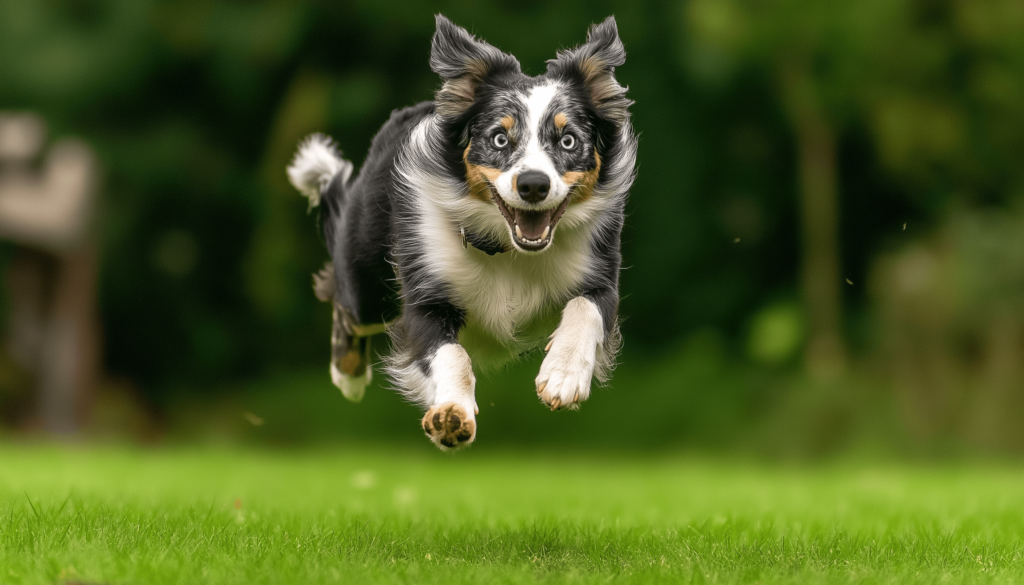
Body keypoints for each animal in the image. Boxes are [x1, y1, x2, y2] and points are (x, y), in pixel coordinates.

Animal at [288, 14, 634, 452]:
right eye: (499, 138)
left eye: (569, 140)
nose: (533, 185)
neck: (508, 250)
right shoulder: (425, 292)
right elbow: (449, 354)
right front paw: (451, 415)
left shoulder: (600, 271)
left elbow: (586, 308)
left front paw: (563, 376)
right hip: (364, 273)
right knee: (344, 297)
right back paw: (347, 374)